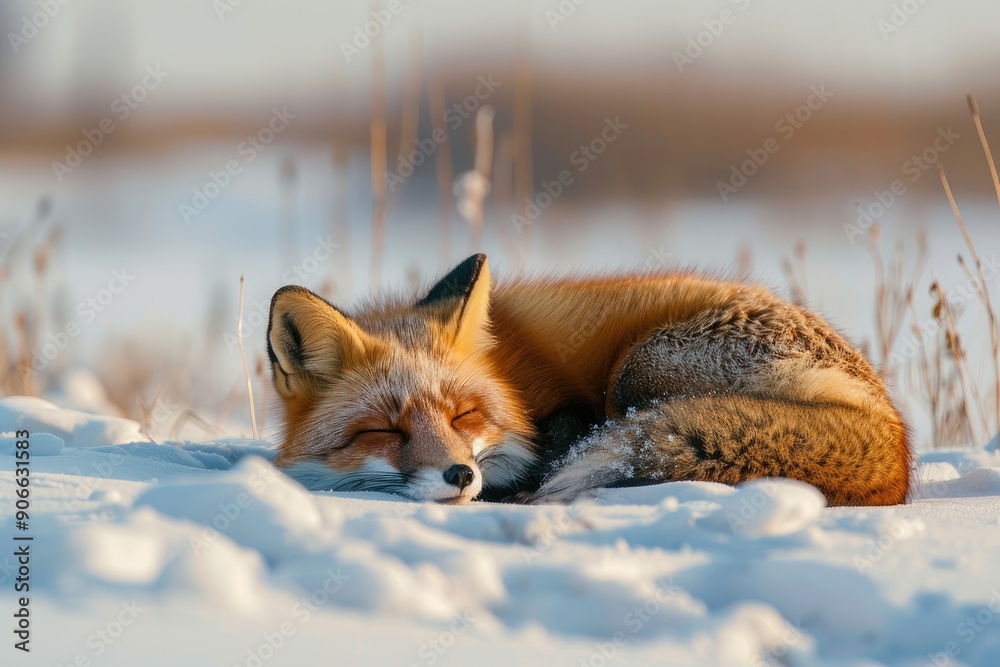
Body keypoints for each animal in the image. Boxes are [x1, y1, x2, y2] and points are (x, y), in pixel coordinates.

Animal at [266, 254, 911, 506]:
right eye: (385, 431)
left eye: (463, 415)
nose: (460, 474)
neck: (510, 374)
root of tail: (895, 436)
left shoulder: (569, 412)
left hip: (638, 366)